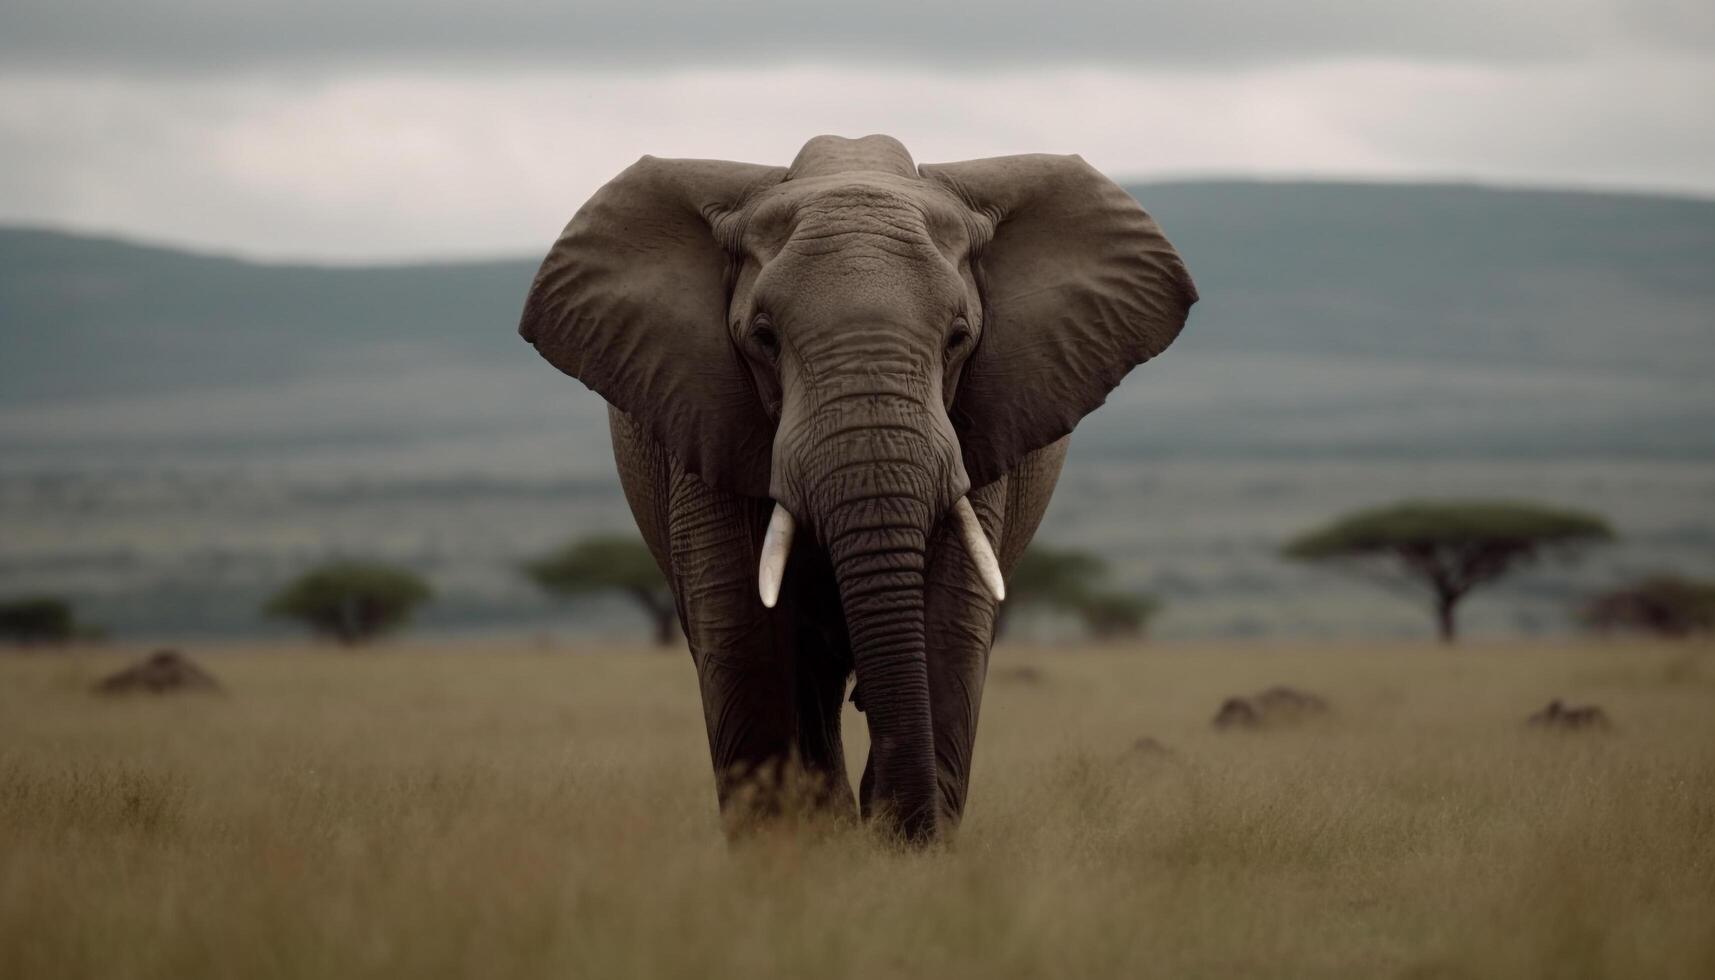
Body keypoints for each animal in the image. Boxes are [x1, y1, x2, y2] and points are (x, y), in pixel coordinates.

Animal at [514, 132, 1200, 844]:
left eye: (959, 338)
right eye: (763, 338)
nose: (903, 829)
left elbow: (950, 620)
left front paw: (903, 853)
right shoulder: (703, 415)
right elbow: (743, 629)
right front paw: (794, 854)